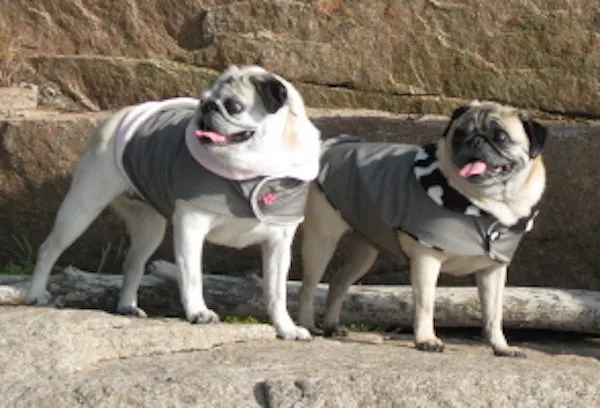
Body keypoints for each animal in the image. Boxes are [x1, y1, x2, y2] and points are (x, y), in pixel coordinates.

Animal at [27, 66, 322, 342]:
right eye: (204, 100)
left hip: (149, 228)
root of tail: (118, 115)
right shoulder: (191, 226)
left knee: (133, 263)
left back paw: (127, 306)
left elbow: (276, 293)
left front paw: (286, 328)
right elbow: (191, 276)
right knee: (49, 249)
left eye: (233, 106)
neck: (256, 168)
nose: (207, 107)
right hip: (82, 208)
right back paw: (36, 294)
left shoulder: (279, 243)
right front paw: (198, 312)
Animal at [298, 100, 548, 356]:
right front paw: (427, 340)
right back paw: (309, 325)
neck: (483, 205)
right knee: (308, 287)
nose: (474, 140)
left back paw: (332, 326)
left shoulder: (493, 270)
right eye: (459, 134)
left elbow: (493, 313)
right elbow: (426, 304)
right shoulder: (427, 259)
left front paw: (500, 346)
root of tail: (329, 147)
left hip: (364, 252)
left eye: (500, 136)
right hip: (321, 241)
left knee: (338, 282)